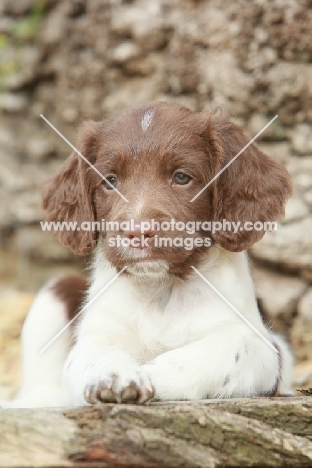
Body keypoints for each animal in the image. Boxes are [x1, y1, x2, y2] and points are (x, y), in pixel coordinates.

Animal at [4, 101, 294, 406]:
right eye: (110, 181)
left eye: (181, 177)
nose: (137, 232)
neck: (161, 289)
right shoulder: (98, 332)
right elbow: (94, 354)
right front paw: (115, 375)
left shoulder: (263, 349)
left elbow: (220, 352)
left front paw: (147, 374)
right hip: (53, 295)